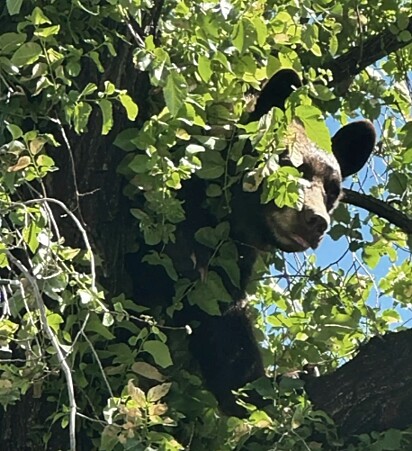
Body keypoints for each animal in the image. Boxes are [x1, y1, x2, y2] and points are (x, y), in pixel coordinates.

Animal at [127, 69, 374, 416]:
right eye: (292, 164)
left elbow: (221, 311)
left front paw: (284, 378)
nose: (316, 221)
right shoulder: (169, 212)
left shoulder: (235, 254)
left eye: (332, 190)